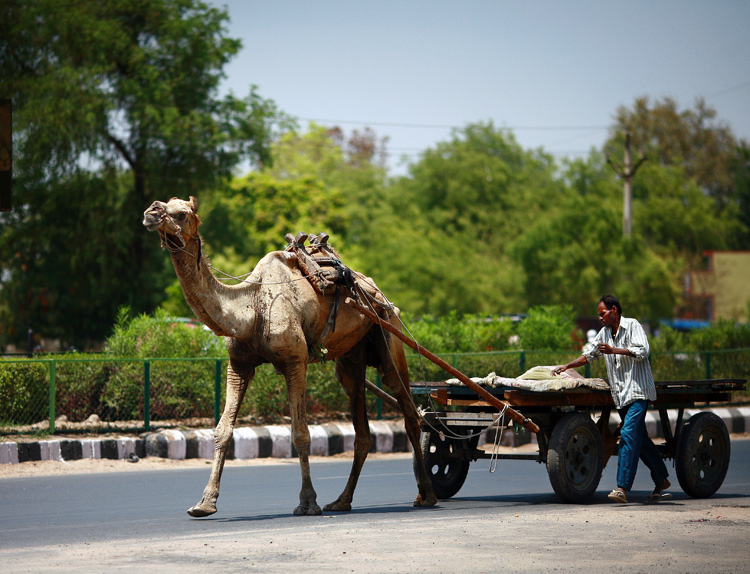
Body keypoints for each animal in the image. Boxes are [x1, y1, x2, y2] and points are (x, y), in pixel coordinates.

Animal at [143, 198, 438, 516]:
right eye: (163, 203)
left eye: (181, 213)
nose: (151, 211)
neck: (252, 308)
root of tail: (376, 290)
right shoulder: (238, 364)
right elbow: (223, 430)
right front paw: (204, 503)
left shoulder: (295, 362)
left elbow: (300, 432)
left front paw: (308, 502)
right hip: (351, 359)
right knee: (362, 428)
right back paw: (342, 501)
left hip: (388, 331)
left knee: (409, 410)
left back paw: (427, 495)